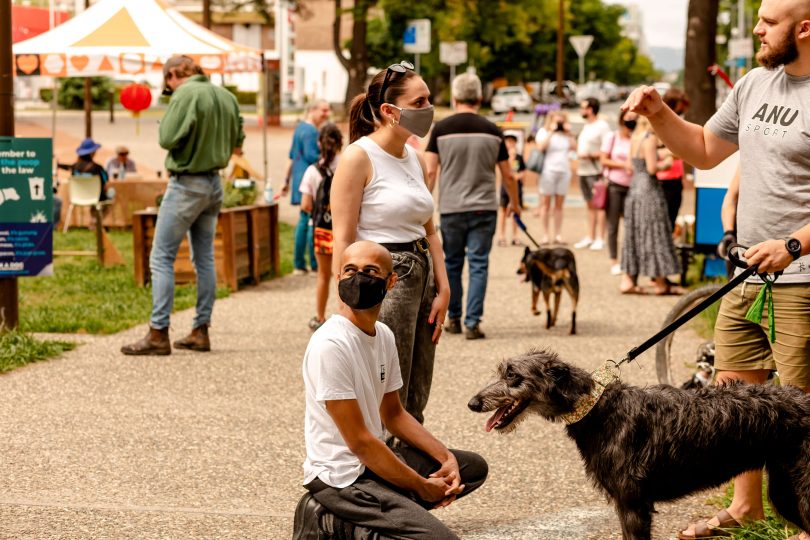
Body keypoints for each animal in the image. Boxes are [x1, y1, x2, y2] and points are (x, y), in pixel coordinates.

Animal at [468, 350, 808, 540]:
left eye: (513, 376)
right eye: (502, 372)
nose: (472, 403)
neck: (599, 409)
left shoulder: (633, 506)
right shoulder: (628, 505)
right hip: (785, 491)